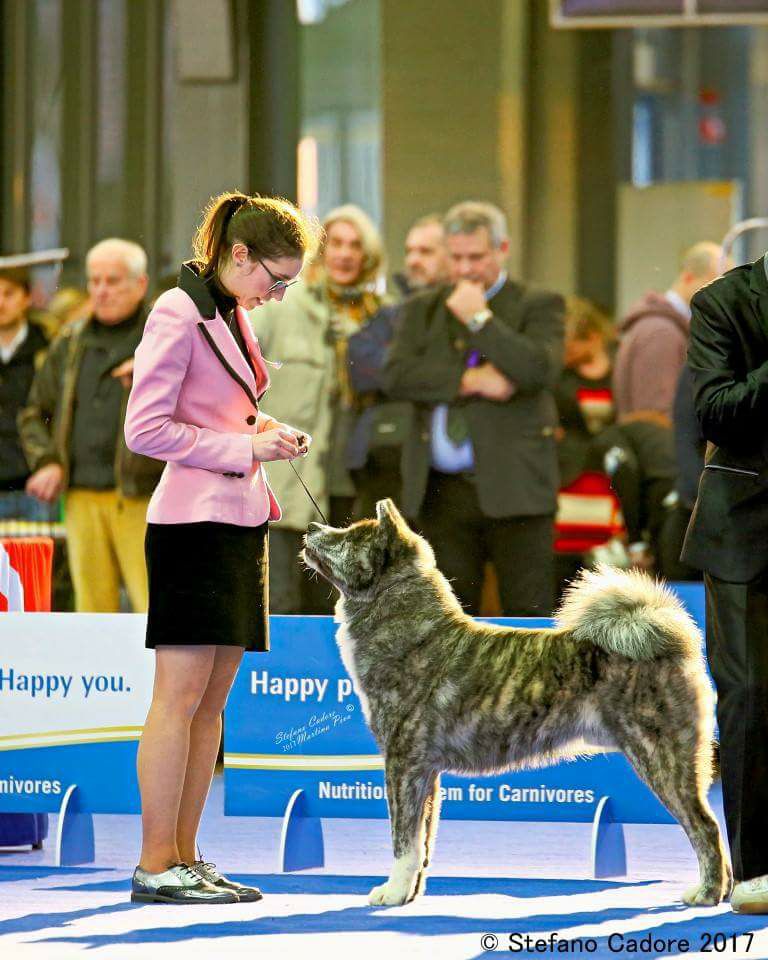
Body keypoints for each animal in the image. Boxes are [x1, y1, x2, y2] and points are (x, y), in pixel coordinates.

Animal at [302, 502, 732, 908]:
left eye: (349, 537)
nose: (311, 526)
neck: (412, 632)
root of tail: (673, 642)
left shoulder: (402, 763)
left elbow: (402, 840)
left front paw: (390, 894)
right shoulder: (425, 772)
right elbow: (422, 842)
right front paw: (408, 893)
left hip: (661, 757)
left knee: (705, 827)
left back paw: (706, 893)